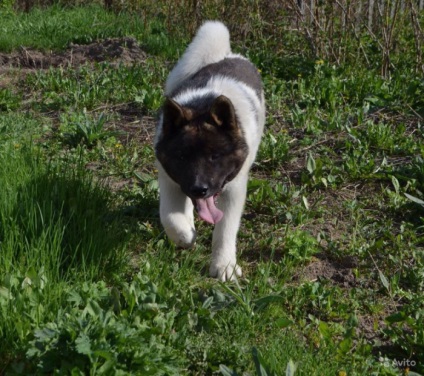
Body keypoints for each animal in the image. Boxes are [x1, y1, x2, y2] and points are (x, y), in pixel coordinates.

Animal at [152, 19, 264, 280]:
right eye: (182, 157)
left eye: (215, 156)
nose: (199, 188)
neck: (202, 106)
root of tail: (226, 55)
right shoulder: (169, 178)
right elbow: (170, 216)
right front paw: (185, 235)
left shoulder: (233, 188)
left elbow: (225, 229)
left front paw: (224, 266)